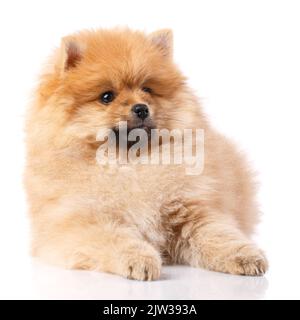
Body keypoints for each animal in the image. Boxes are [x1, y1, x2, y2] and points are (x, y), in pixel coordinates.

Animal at [25, 29, 268, 280]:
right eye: (106, 97)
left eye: (147, 89)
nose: (141, 108)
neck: (130, 161)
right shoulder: (82, 221)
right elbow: (115, 239)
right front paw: (140, 259)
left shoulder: (190, 210)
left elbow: (217, 233)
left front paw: (244, 255)